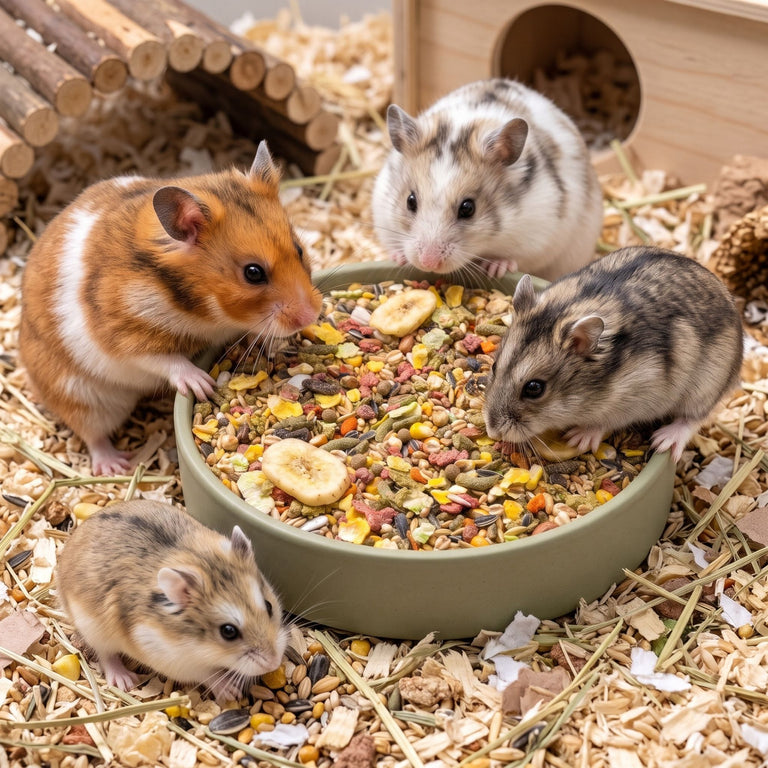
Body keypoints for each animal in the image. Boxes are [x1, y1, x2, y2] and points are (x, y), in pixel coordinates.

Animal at [19, 141, 322, 476]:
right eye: (253, 273)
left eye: (299, 249)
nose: (312, 315)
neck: (205, 311)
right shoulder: (124, 335)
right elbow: (165, 360)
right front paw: (203, 385)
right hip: (83, 398)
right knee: (93, 434)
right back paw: (116, 466)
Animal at [56, 499, 287, 701]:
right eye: (228, 631)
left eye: (269, 606)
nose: (274, 663)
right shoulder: (176, 662)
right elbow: (207, 675)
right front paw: (231, 691)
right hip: (94, 629)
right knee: (105, 655)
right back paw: (125, 680)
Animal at [372, 78, 603, 280]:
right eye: (410, 201)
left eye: (468, 208)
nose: (428, 263)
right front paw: (399, 258)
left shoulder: (538, 237)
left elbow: (515, 258)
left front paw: (495, 268)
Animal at [482, 246, 743, 462]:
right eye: (494, 367)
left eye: (534, 388)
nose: (492, 431)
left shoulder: (638, 397)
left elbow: (605, 422)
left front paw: (578, 438)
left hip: (706, 385)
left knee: (695, 418)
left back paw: (665, 440)